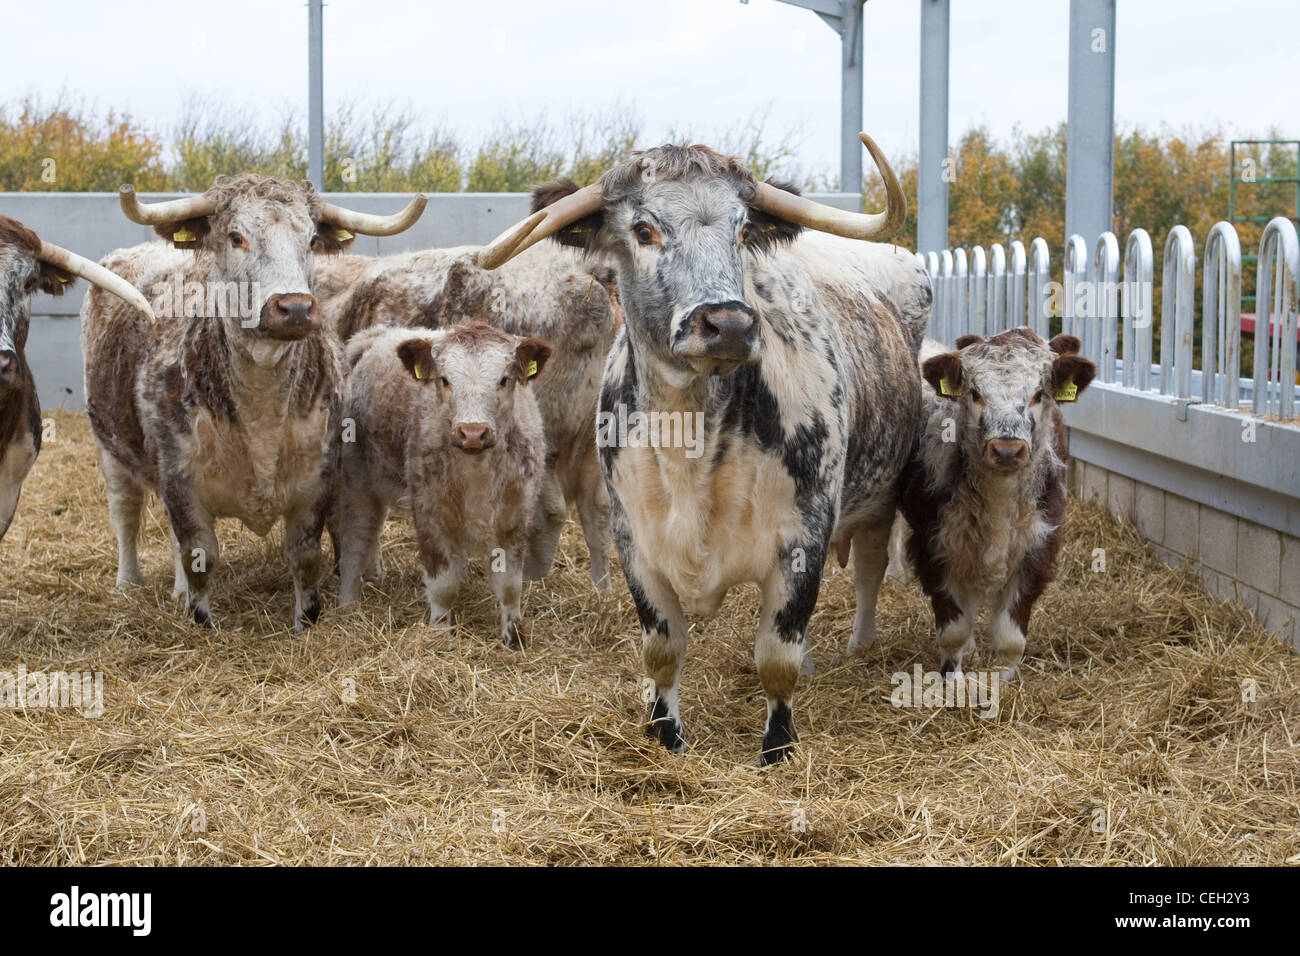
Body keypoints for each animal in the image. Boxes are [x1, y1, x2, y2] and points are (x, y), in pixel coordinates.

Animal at [80, 174, 425, 629]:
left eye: (311, 239)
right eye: (236, 236)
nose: (295, 308)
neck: (261, 410)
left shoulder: (317, 478)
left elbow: (304, 554)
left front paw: (305, 621)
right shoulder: (180, 479)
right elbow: (200, 555)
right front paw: (203, 621)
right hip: (109, 447)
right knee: (125, 513)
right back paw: (128, 582)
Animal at [337, 322, 551, 648]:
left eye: (504, 380)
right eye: (445, 380)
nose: (473, 432)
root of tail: (382, 333)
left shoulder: (516, 518)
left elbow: (510, 586)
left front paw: (513, 637)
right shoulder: (430, 515)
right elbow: (443, 585)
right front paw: (439, 633)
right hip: (357, 482)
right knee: (356, 538)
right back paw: (348, 605)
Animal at [476, 133, 930, 764]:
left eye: (741, 230)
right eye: (643, 229)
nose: (729, 324)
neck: (689, 445)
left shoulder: (803, 541)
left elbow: (777, 657)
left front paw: (777, 748)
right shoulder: (635, 544)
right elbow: (663, 651)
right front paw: (666, 736)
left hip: (881, 497)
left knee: (867, 572)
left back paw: (859, 644)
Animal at [896, 328, 1095, 678]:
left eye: (1038, 393)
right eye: (975, 393)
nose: (1007, 450)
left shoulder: (1037, 548)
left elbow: (1010, 637)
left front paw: (1006, 682)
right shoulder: (934, 547)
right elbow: (954, 630)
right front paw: (954, 679)